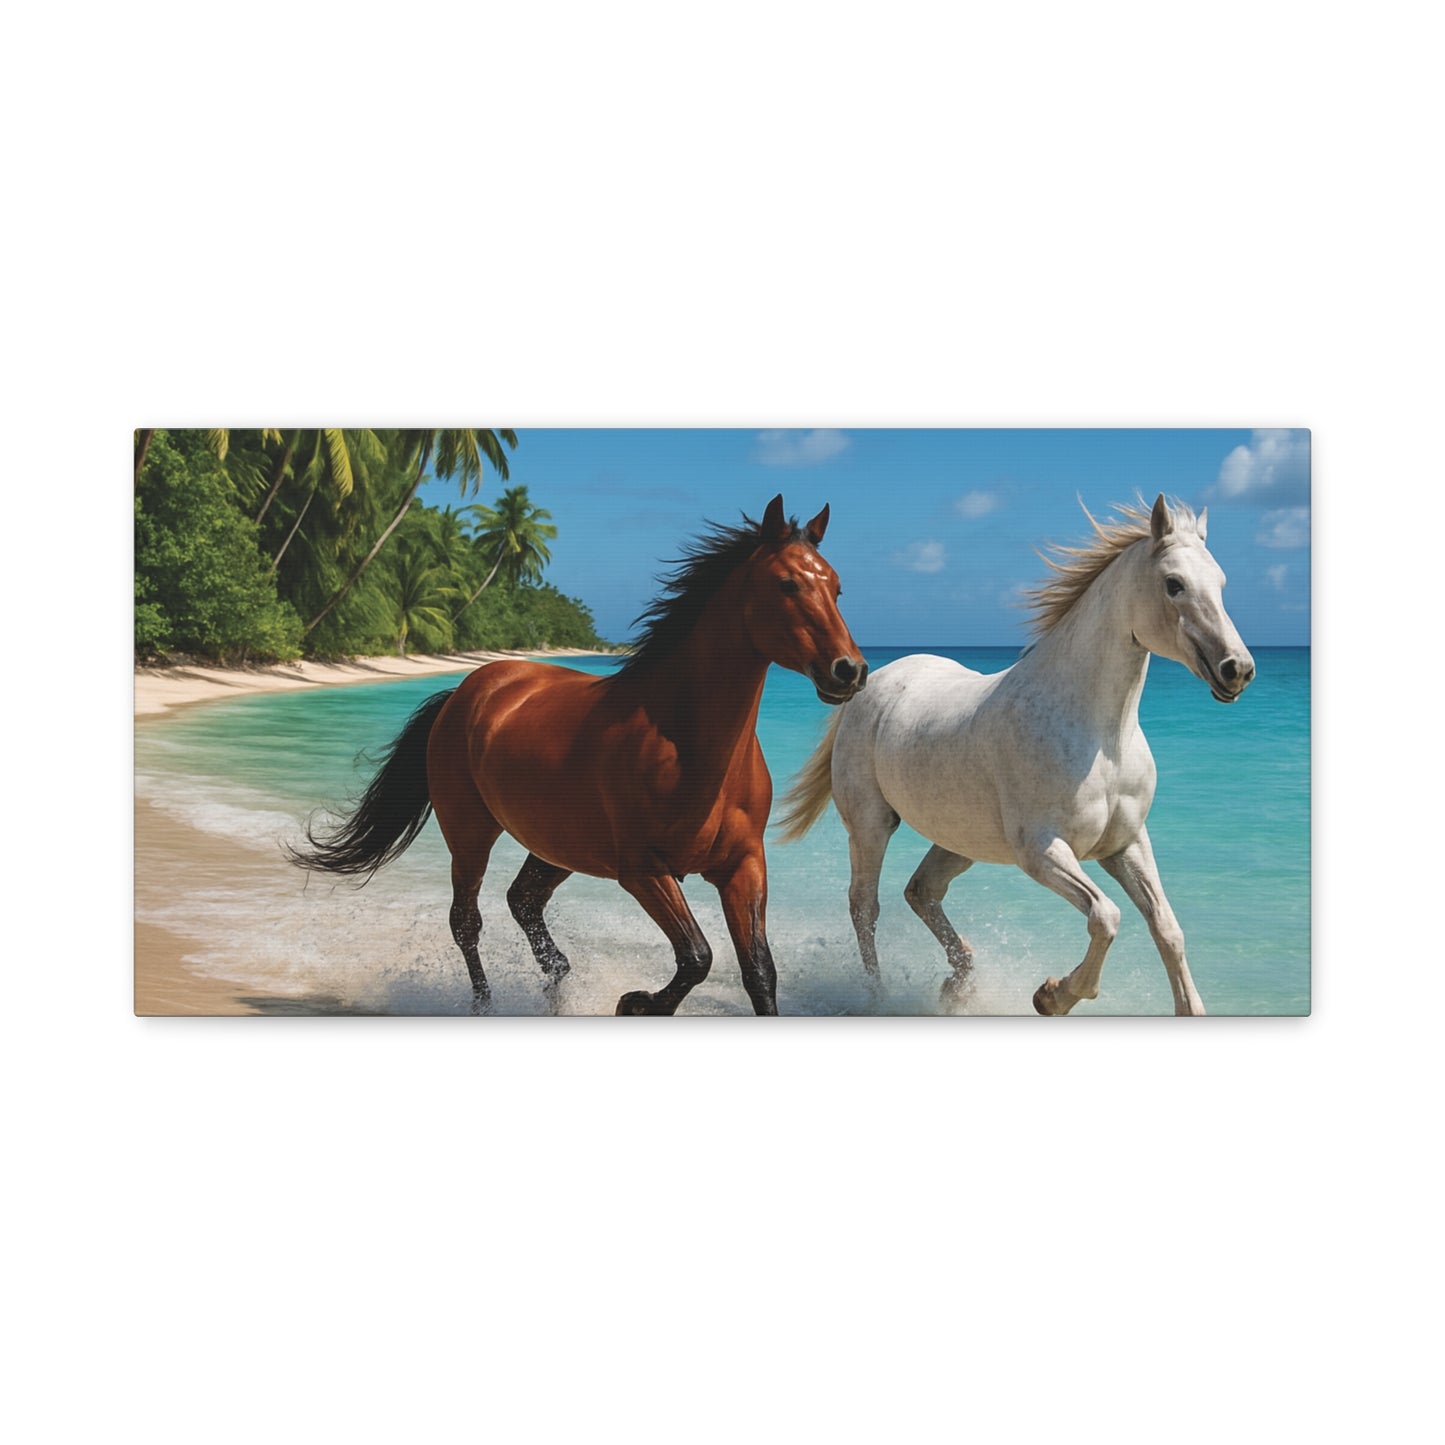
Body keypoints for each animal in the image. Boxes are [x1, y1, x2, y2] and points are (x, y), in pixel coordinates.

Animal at [290, 495, 866, 1015]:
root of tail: (466, 690)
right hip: (470, 832)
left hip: (556, 845)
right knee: (466, 921)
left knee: (523, 902)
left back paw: (558, 979)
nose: (850, 671)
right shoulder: (642, 871)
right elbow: (697, 956)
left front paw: (638, 1000)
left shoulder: (743, 866)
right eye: (787, 584)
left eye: (839, 588)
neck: (686, 747)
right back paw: (485, 1005)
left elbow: (759, 973)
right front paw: (636, 1003)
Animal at [777, 494, 1254, 1016]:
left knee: (921, 891)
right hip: (870, 825)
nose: (1237, 669)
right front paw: (1052, 995)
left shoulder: (1126, 844)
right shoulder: (1042, 852)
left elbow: (1167, 928)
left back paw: (958, 983)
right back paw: (877, 995)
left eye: (1222, 583)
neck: (1099, 737)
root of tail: (871, 680)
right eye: (1174, 584)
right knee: (866, 905)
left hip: (960, 840)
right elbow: (1106, 916)